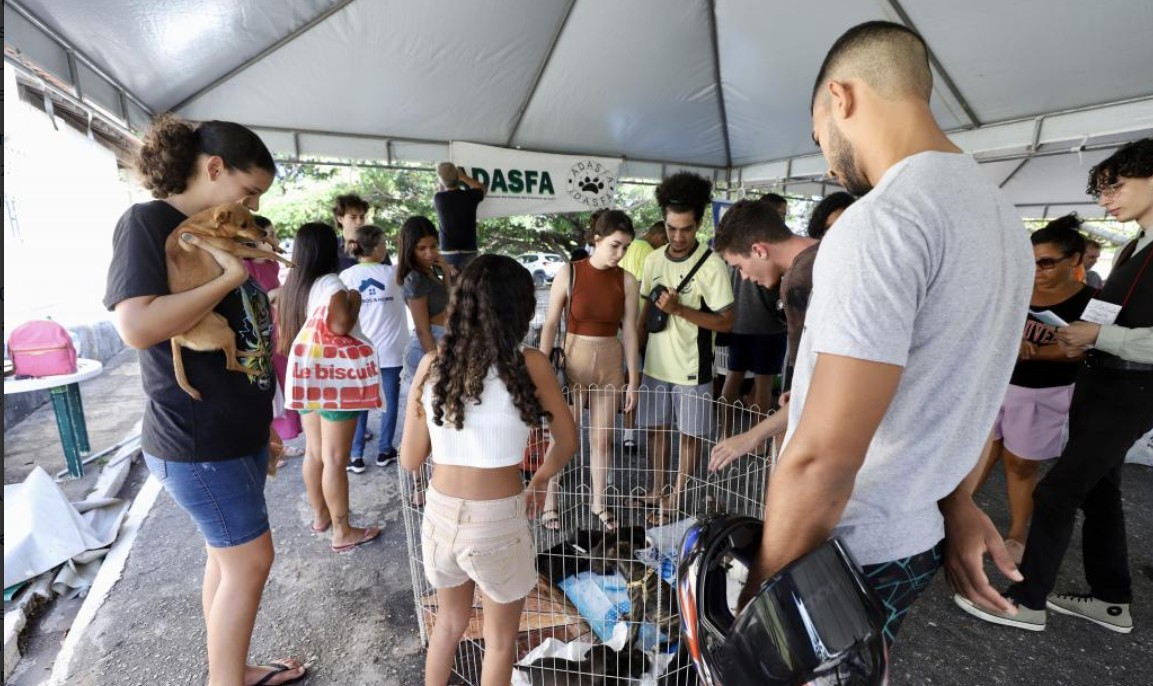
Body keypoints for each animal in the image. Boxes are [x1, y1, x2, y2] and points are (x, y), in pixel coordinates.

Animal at [165, 202, 293, 400]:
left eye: (253, 220)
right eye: (243, 225)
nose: (264, 232)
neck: (204, 225)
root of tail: (176, 337)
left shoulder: (235, 241)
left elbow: (254, 244)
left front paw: (276, 246)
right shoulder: (235, 248)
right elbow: (260, 251)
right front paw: (285, 260)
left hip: (224, 326)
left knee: (235, 352)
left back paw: (256, 352)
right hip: (222, 333)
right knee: (230, 364)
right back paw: (256, 371)